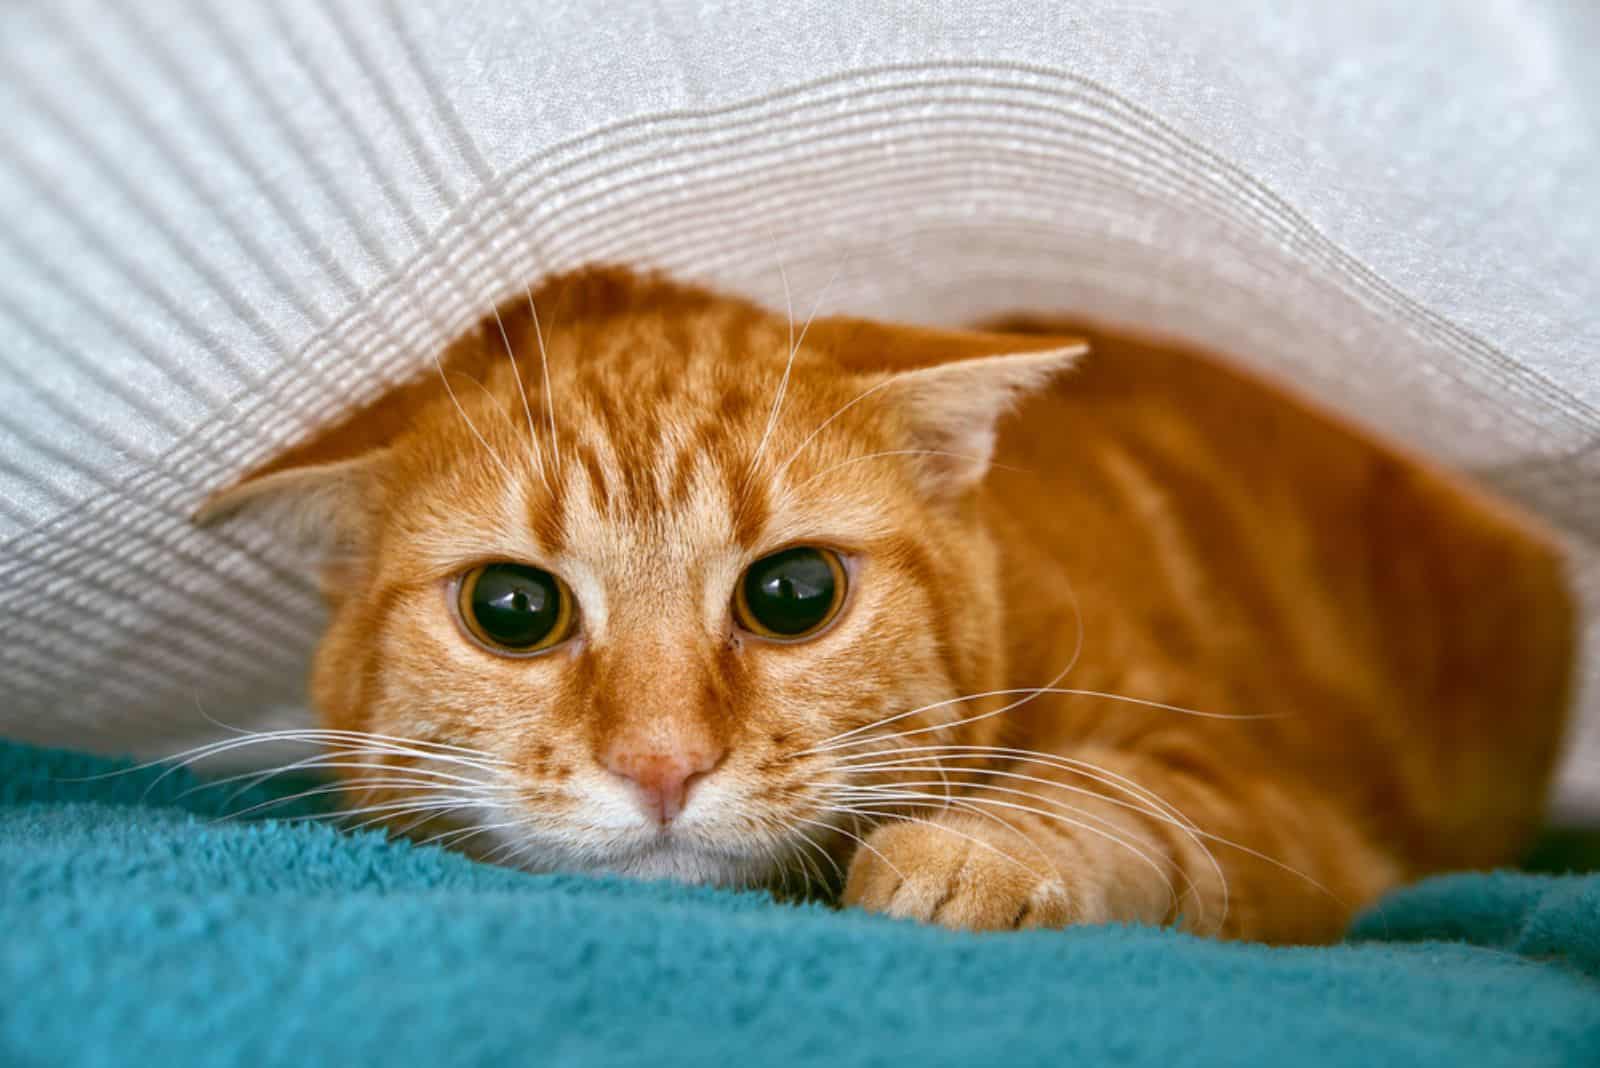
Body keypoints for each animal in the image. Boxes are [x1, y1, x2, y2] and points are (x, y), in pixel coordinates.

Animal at [200, 267, 1574, 940]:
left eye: (792, 593)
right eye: (513, 610)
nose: (661, 765)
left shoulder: (1272, 810)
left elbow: (1119, 798)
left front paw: (969, 852)